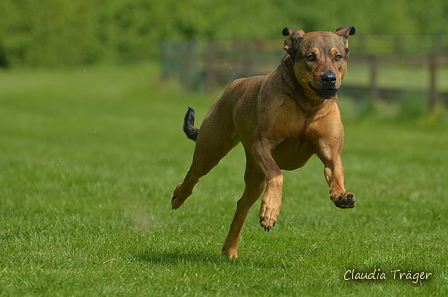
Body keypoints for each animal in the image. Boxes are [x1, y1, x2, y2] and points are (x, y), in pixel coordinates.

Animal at [172, 26, 356, 256]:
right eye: (310, 57)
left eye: (337, 56)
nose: (329, 78)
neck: (308, 103)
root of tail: (231, 86)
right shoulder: (261, 146)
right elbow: (277, 174)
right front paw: (270, 210)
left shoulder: (330, 148)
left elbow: (335, 170)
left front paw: (341, 194)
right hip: (212, 149)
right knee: (195, 172)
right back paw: (179, 195)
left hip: (255, 177)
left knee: (242, 205)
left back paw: (230, 249)